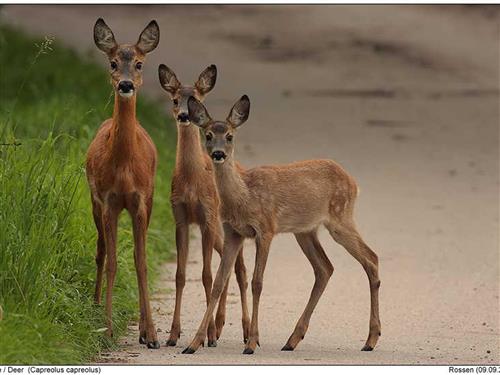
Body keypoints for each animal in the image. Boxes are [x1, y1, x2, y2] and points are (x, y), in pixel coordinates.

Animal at [158, 65, 250, 350]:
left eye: (197, 97)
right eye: (175, 99)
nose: (185, 115)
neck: (192, 181)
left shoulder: (207, 217)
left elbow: (207, 276)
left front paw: (206, 336)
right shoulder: (180, 218)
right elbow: (180, 275)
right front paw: (173, 335)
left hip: (225, 226)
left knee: (240, 269)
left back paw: (242, 331)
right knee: (229, 267)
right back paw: (219, 327)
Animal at [182, 94, 380, 356]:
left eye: (230, 136)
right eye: (208, 134)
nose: (218, 154)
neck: (244, 196)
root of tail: (353, 182)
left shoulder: (266, 229)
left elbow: (257, 283)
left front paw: (251, 343)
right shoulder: (233, 232)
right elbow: (218, 283)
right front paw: (193, 344)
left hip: (340, 218)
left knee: (371, 258)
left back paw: (370, 340)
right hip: (305, 231)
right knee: (325, 268)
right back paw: (292, 340)